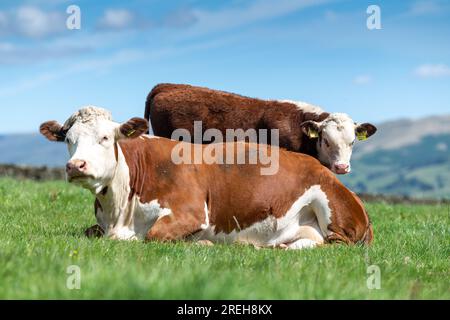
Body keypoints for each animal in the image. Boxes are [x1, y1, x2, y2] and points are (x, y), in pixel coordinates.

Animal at [39, 106, 372, 249]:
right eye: (69, 139)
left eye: (106, 138)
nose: (76, 166)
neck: (120, 210)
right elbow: (89, 231)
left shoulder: (192, 212)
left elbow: (153, 235)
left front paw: (203, 244)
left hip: (330, 205)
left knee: (336, 244)